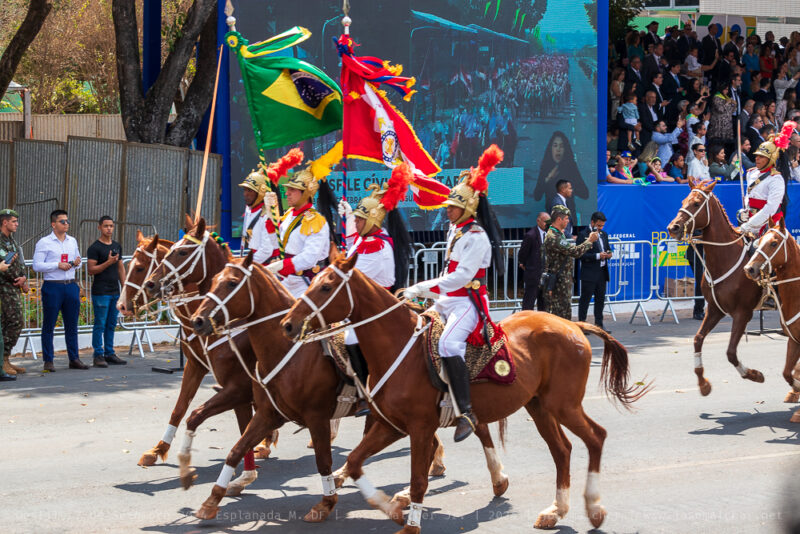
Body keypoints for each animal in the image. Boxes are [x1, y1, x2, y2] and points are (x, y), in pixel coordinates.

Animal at [119, 228, 268, 496]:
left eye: (140, 267)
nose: (121, 306)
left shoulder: (238, 381)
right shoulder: (195, 365)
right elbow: (179, 408)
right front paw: (157, 450)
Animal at [188, 254, 454, 524]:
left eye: (232, 283)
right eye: (213, 280)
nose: (197, 320)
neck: (287, 350)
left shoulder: (315, 416)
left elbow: (323, 461)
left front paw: (325, 503)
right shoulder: (267, 413)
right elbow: (235, 449)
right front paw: (212, 499)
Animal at [278, 253, 648, 532]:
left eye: (326, 286)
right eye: (312, 281)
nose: (288, 325)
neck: (397, 346)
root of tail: (572, 324)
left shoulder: (418, 427)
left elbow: (417, 479)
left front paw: (409, 523)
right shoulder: (391, 425)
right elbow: (354, 462)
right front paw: (389, 508)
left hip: (564, 404)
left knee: (595, 437)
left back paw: (594, 508)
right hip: (539, 405)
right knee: (562, 450)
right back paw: (555, 510)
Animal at [664, 182, 764, 396]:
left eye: (696, 203)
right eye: (683, 201)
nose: (673, 227)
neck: (725, 258)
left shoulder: (743, 313)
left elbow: (731, 353)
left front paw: (753, 374)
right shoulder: (715, 309)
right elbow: (697, 339)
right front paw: (703, 383)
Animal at [748, 218, 800, 422]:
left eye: (774, 243)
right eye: (760, 241)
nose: (749, 268)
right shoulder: (794, 340)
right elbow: (787, 373)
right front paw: (796, 390)